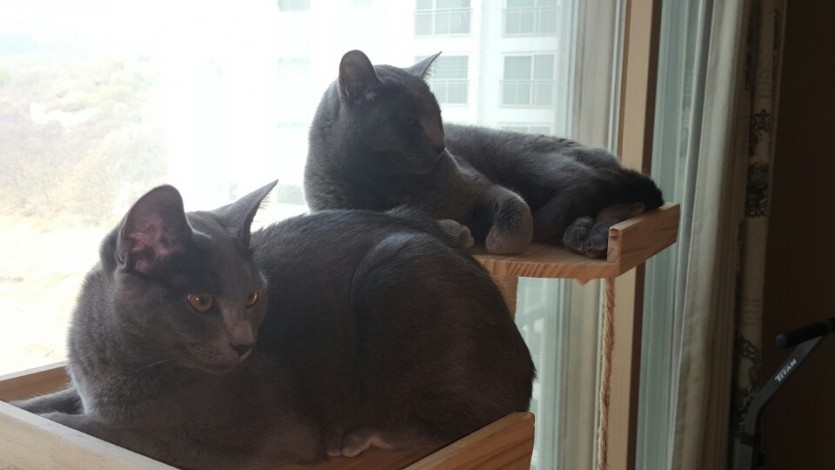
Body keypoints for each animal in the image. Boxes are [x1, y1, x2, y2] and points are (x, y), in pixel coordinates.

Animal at [12, 181, 535, 469]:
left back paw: (366, 435)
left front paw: (68, 422)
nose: (245, 344)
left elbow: (118, 432)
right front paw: (30, 407)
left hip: (402, 269)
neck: (118, 365)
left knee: (481, 414)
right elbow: (49, 400)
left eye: (252, 296)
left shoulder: (261, 433)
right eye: (201, 301)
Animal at [304, 50, 664, 257]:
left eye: (438, 116)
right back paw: (580, 233)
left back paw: (597, 234)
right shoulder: (343, 213)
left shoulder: (485, 187)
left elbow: (518, 219)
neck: (392, 184)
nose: (441, 146)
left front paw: (490, 239)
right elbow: (407, 217)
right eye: (409, 121)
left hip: (542, 168)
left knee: (621, 195)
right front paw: (456, 231)